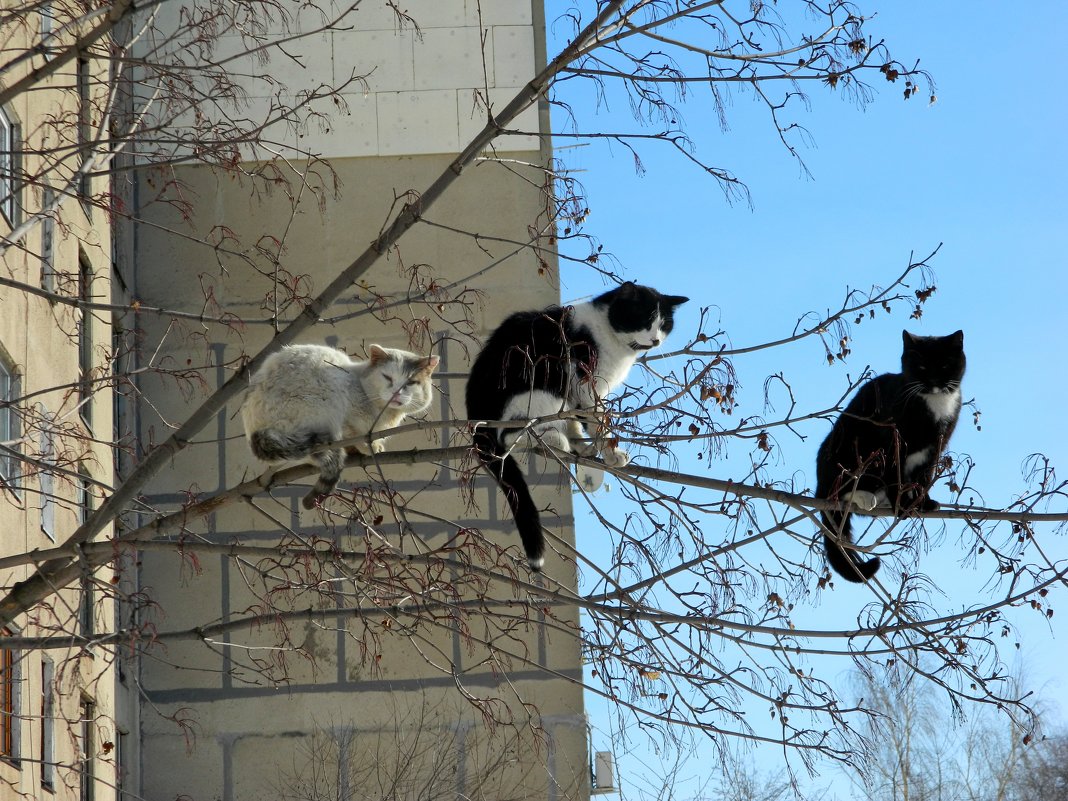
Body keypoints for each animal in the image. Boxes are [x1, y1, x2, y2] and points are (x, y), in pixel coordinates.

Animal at [242, 343, 437, 508]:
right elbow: (354, 433)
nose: (396, 393)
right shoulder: (349, 415)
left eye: (410, 382)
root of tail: (255, 432)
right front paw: (369, 446)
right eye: (387, 377)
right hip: (326, 394)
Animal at [465, 281, 683, 572]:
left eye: (664, 323)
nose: (656, 339)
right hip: (546, 382)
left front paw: (583, 446)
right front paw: (611, 453)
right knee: (510, 435)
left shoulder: (576, 398)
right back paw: (554, 440)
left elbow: (575, 420)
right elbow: (597, 422)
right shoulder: (586, 386)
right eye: (646, 319)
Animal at [815, 331, 969, 585]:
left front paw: (923, 503)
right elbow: (894, 474)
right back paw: (866, 497)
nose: (933, 380)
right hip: (846, 447)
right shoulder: (892, 443)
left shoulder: (936, 448)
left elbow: (925, 477)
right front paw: (902, 504)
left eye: (945, 365)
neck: (933, 404)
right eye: (921, 366)